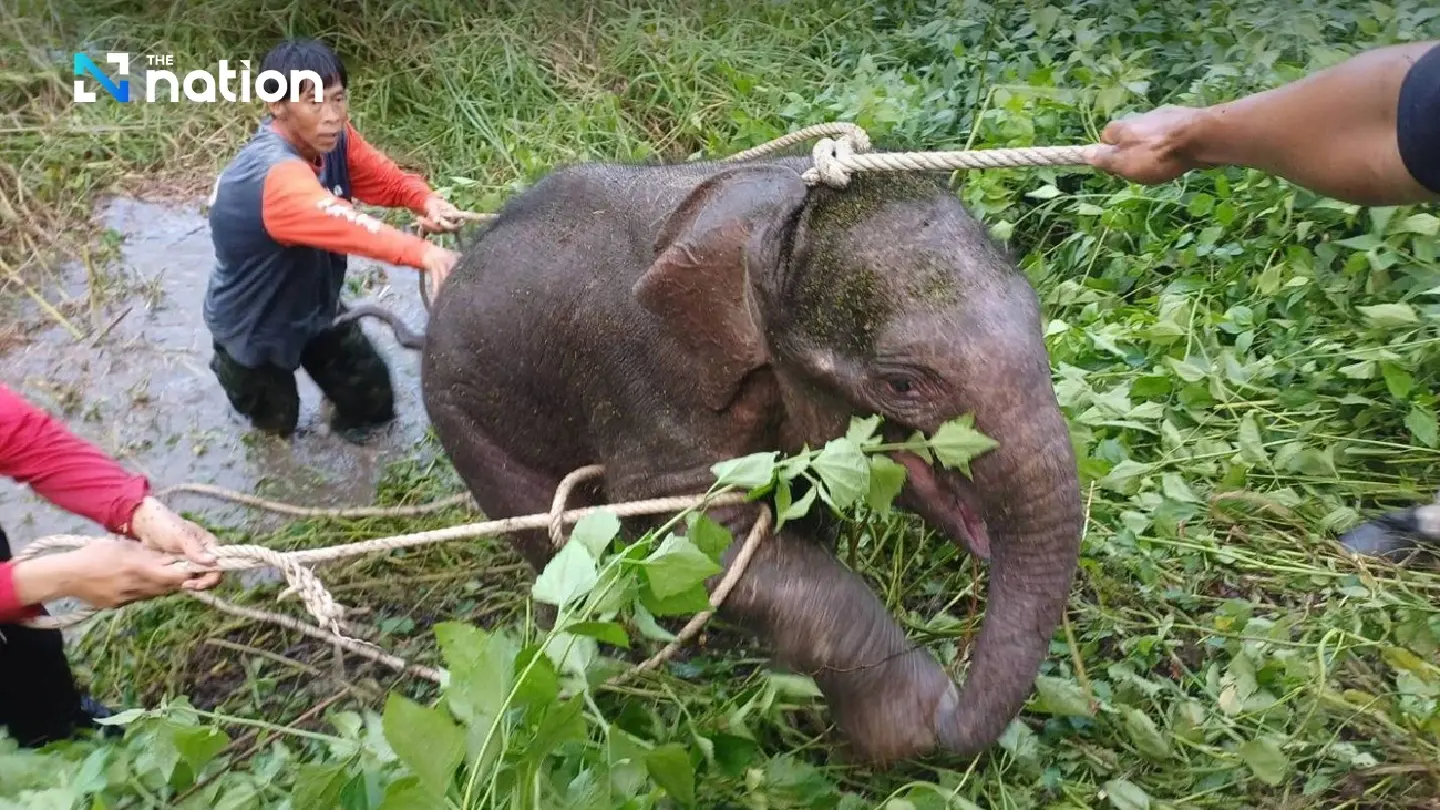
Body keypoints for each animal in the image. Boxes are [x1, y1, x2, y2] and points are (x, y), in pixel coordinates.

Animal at [417, 152, 1086, 766]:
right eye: (901, 384)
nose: (953, 708)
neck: (771, 214)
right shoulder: (647, 380)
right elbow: (688, 535)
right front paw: (905, 721)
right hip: (464, 420)